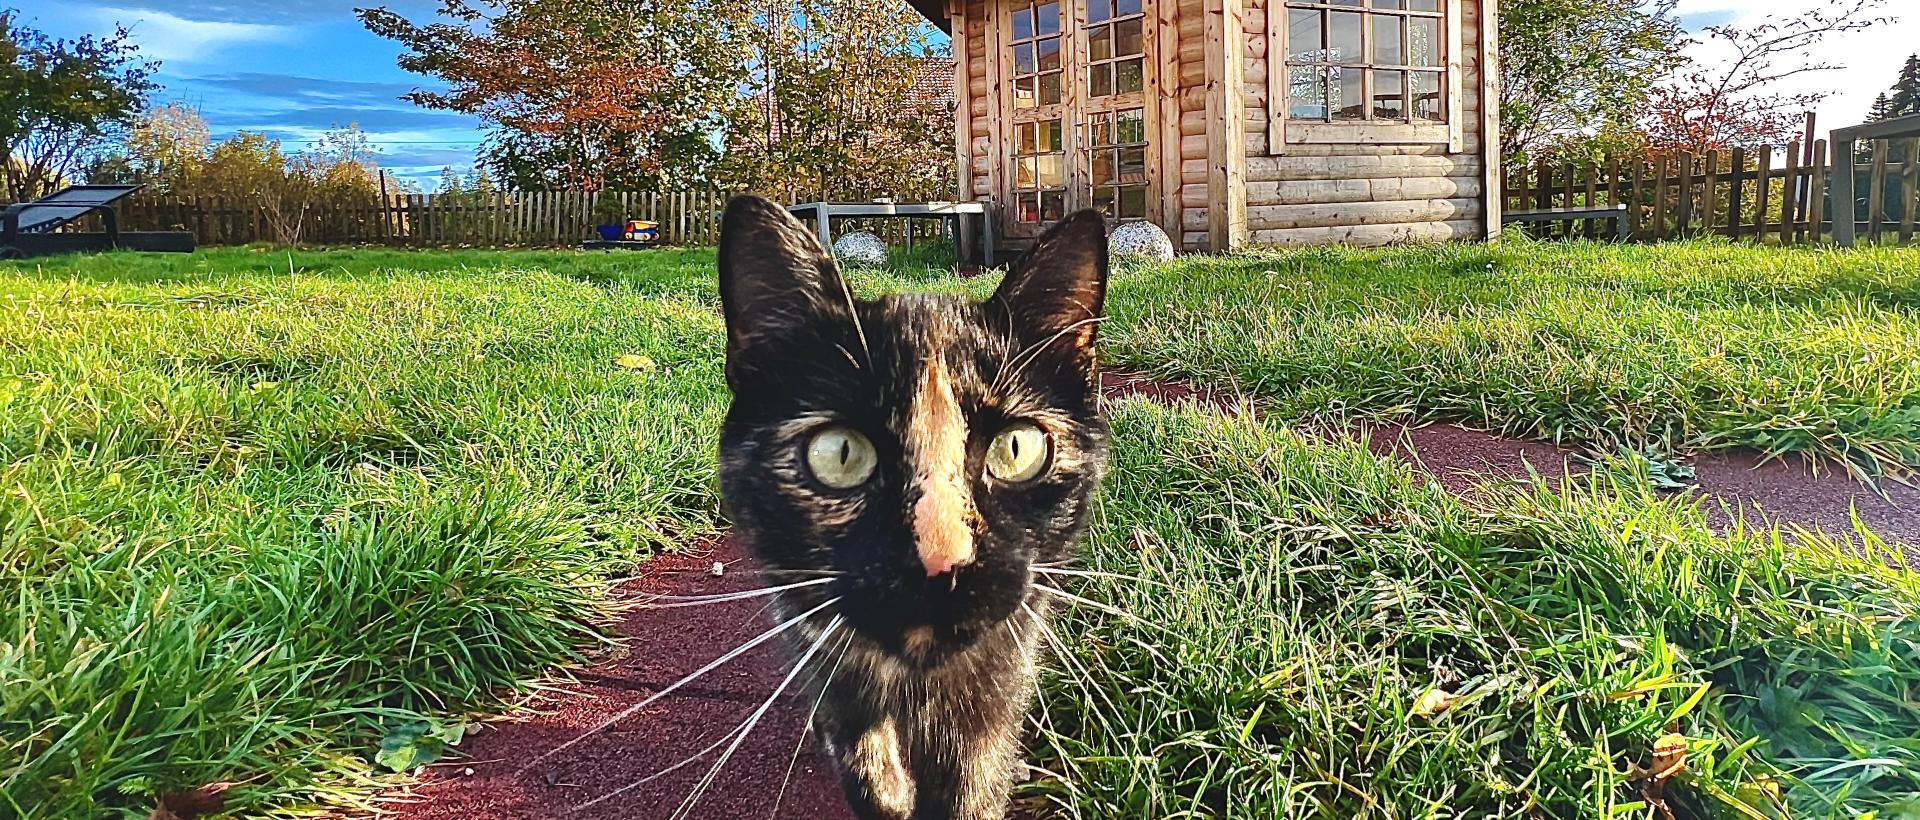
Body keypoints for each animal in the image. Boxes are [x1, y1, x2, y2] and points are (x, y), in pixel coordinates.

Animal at [721, 195, 1113, 818]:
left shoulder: (1000, 675)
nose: (941, 564)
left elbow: (974, 782)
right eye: (840, 453)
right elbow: (869, 773)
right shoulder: (827, 660)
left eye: (1017, 448)